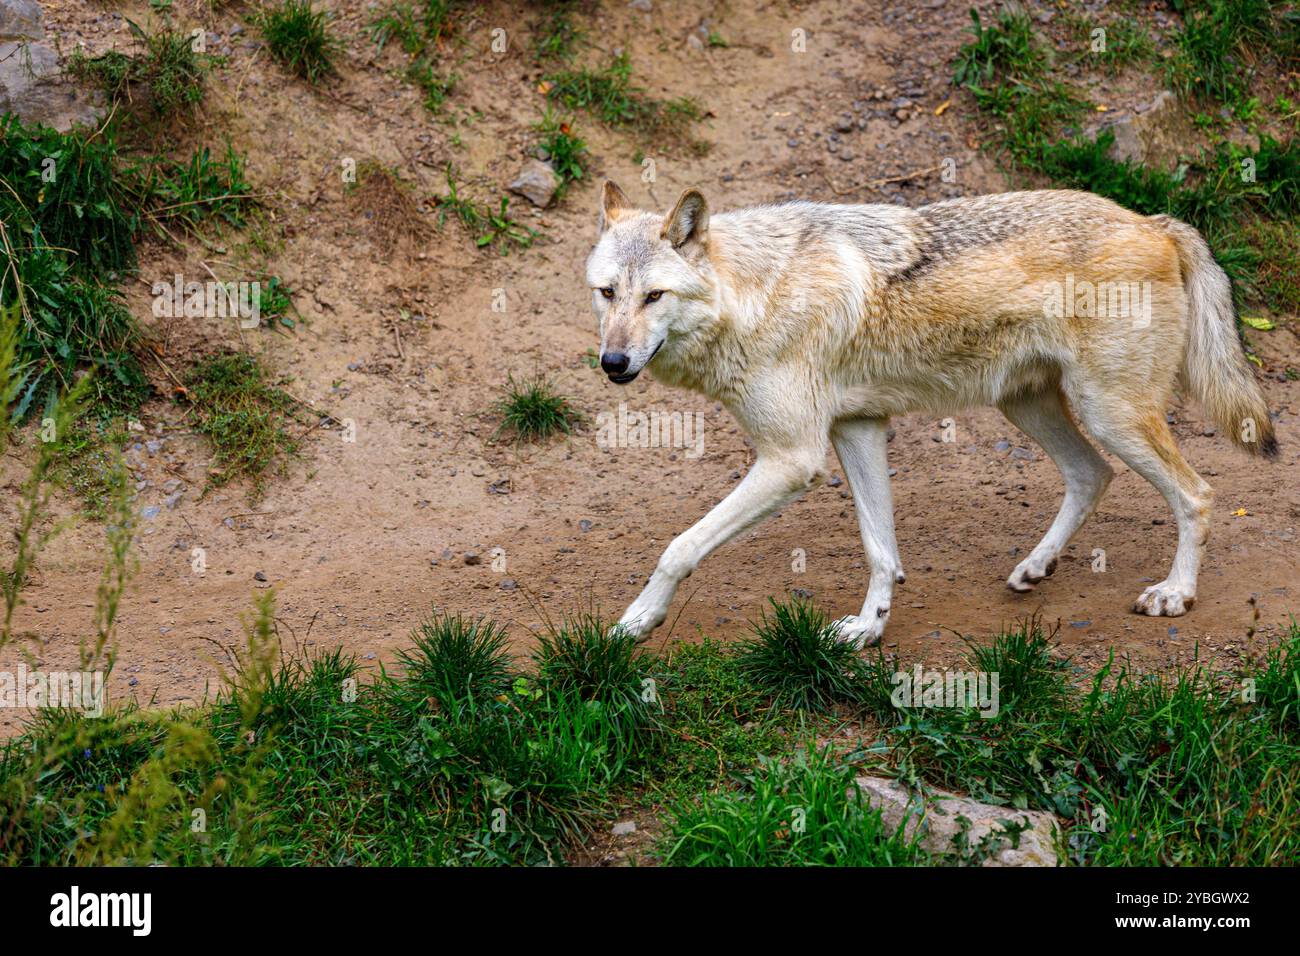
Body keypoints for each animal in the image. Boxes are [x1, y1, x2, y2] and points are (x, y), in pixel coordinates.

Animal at [590, 183, 1279, 647]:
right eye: (607, 293)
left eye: (655, 296)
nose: (613, 361)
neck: (754, 295)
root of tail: (1158, 221)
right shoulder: (857, 429)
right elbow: (880, 550)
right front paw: (867, 628)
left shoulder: (793, 460)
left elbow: (678, 547)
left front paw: (634, 622)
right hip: (1031, 406)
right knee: (1092, 475)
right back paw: (1035, 568)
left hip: (1111, 414)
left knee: (1196, 493)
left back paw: (1175, 594)